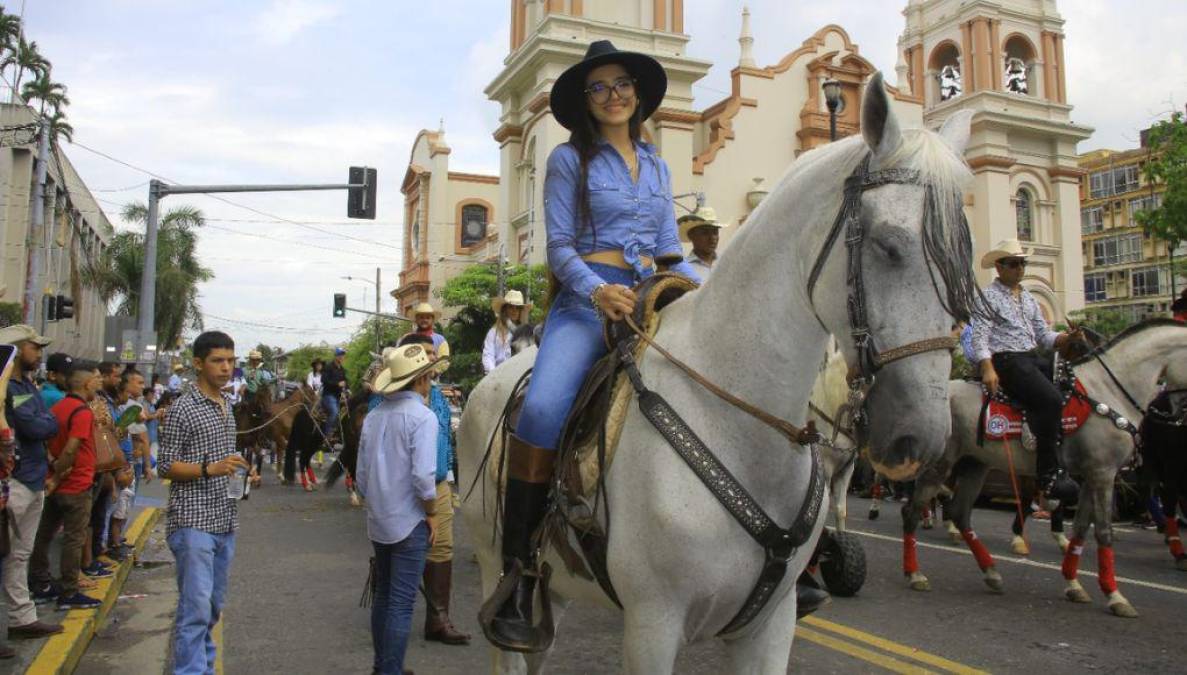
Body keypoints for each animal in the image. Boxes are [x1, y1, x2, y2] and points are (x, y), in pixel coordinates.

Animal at [458, 76, 978, 669]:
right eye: (889, 245)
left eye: (964, 256)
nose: (921, 437)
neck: (742, 425)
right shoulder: (653, 626)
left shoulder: (771, 625)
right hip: (494, 559)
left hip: (561, 585)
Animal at [897, 317, 1187, 616]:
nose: (1177, 413)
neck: (1109, 391)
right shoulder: (1103, 473)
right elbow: (1103, 531)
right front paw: (1114, 595)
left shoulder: (1091, 475)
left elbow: (1080, 527)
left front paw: (1073, 583)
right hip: (940, 463)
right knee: (913, 511)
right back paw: (915, 573)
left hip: (975, 464)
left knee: (960, 512)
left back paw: (991, 572)